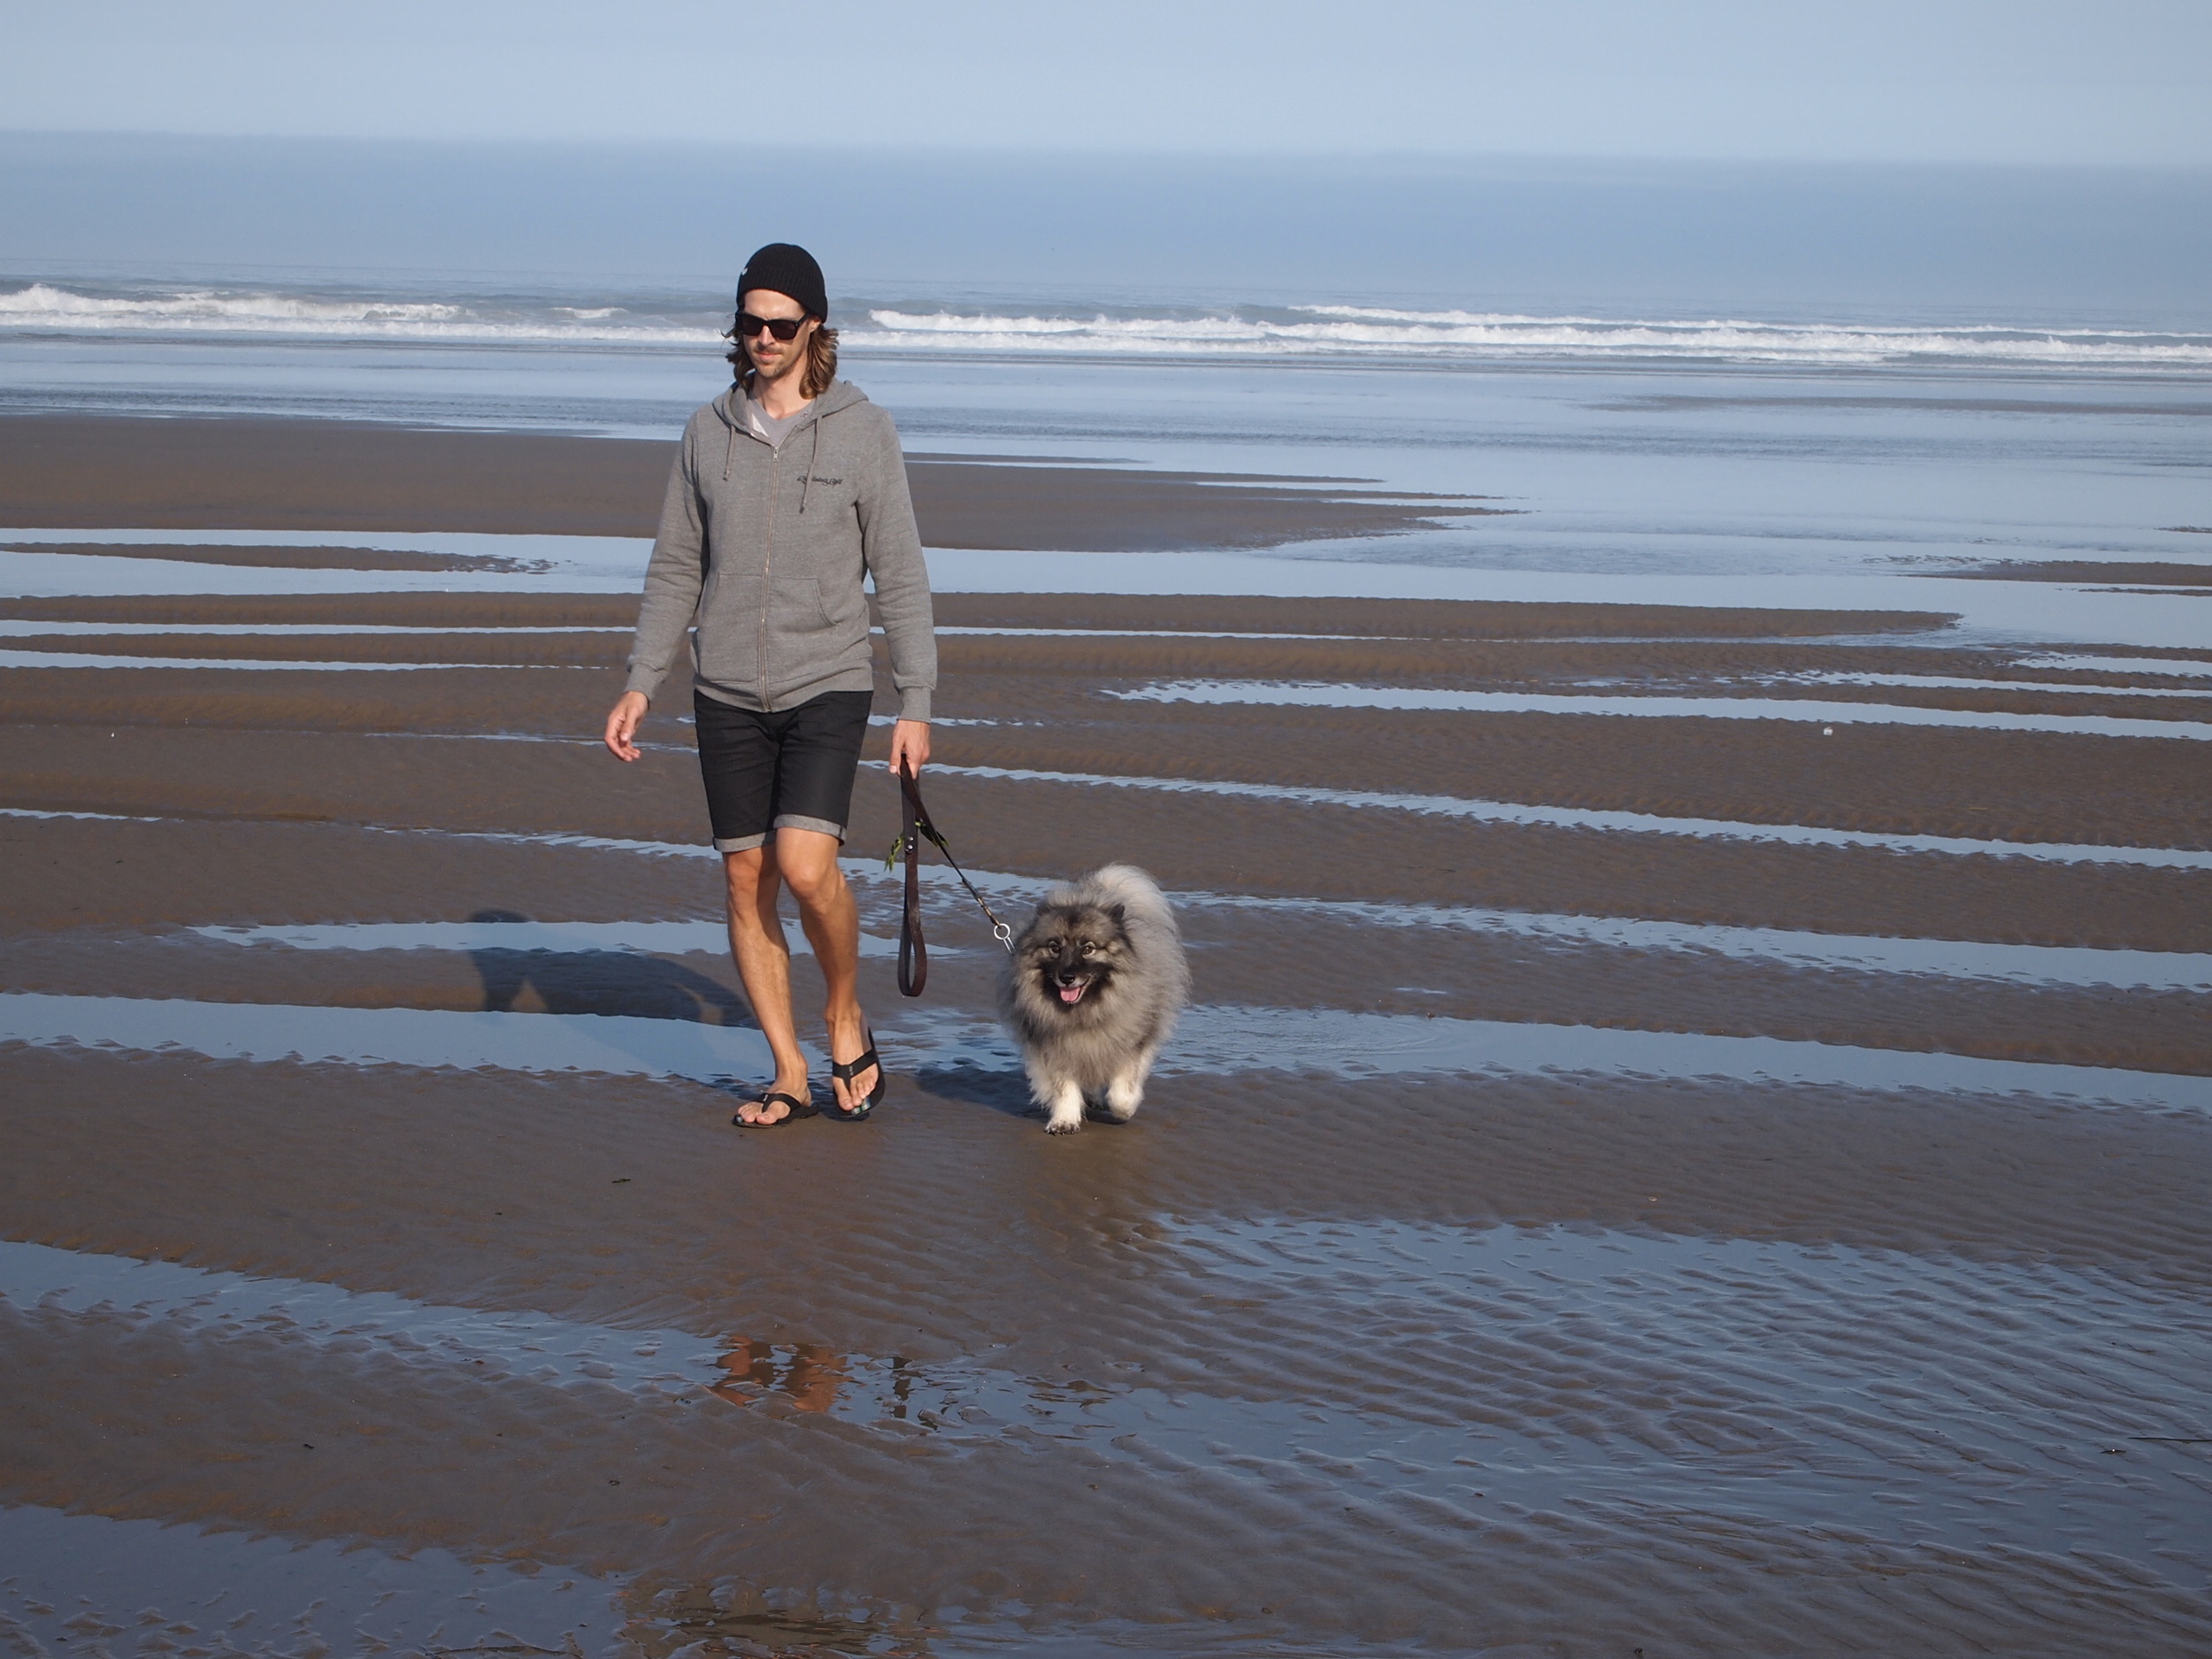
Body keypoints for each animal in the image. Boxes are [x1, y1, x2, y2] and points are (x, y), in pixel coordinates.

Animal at [995, 863, 1186, 1141]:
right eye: (1055, 948)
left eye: (1088, 949)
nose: (1067, 978)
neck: (1085, 1011)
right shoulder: (1056, 1047)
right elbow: (1064, 1087)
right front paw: (1065, 1120)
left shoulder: (1130, 1044)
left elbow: (1121, 1092)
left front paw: (1123, 1109)